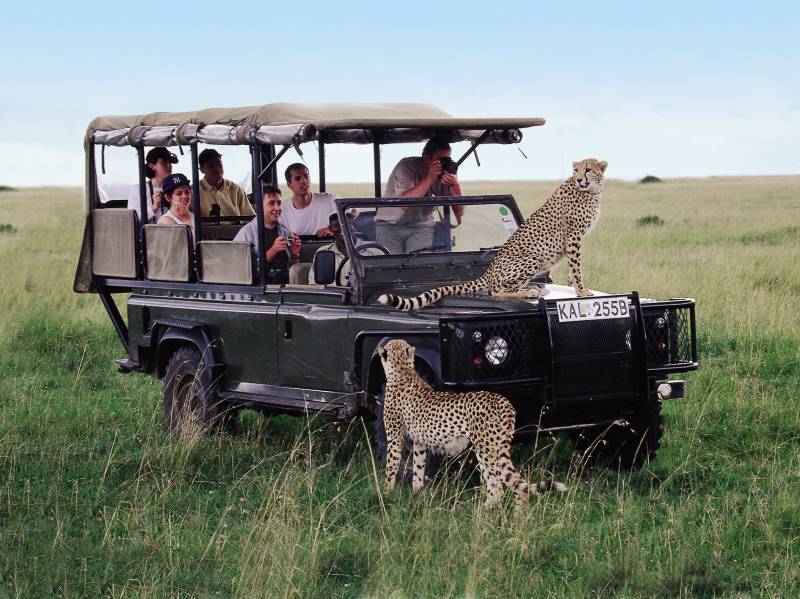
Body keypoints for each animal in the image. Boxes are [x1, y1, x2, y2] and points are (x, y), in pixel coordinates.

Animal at [378, 157, 608, 312]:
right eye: (576, 170)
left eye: (588, 170)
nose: (579, 180)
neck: (592, 191)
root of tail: (488, 271)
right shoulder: (573, 236)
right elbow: (576, 267)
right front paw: (582, 292)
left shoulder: (574, 239)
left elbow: (573, 267)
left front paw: (576, 289)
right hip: (531, 259)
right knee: (495, 289)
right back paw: (528, 291)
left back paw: (530, 287)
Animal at [378, 338, 564, 506]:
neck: (402, 370)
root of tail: (501, 399)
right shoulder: (419, 442)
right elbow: (418, 467)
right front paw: (417, 494)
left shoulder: (394, 438)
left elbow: (391, 467)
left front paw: (385, 496)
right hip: (496, 447)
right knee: (516, 486)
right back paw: (516, 516)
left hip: (485, 448)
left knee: (497, 486)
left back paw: (484, 511)